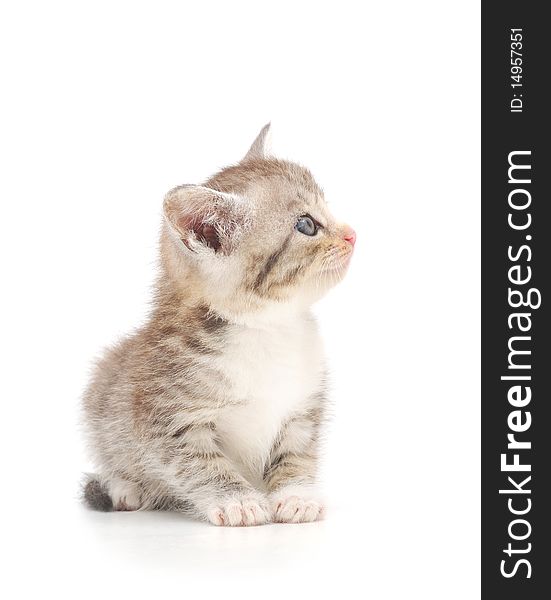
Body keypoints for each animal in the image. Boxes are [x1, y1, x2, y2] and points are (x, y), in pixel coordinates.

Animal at [83, 123, 356, 524]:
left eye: (327, 208)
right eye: (306, 225)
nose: (352, 234)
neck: (268, 329)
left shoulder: (303, 408)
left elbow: (297, 454)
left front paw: (296, 494)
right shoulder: (164, 416)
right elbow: (199, 463)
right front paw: (235, 500)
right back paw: (125, 488)